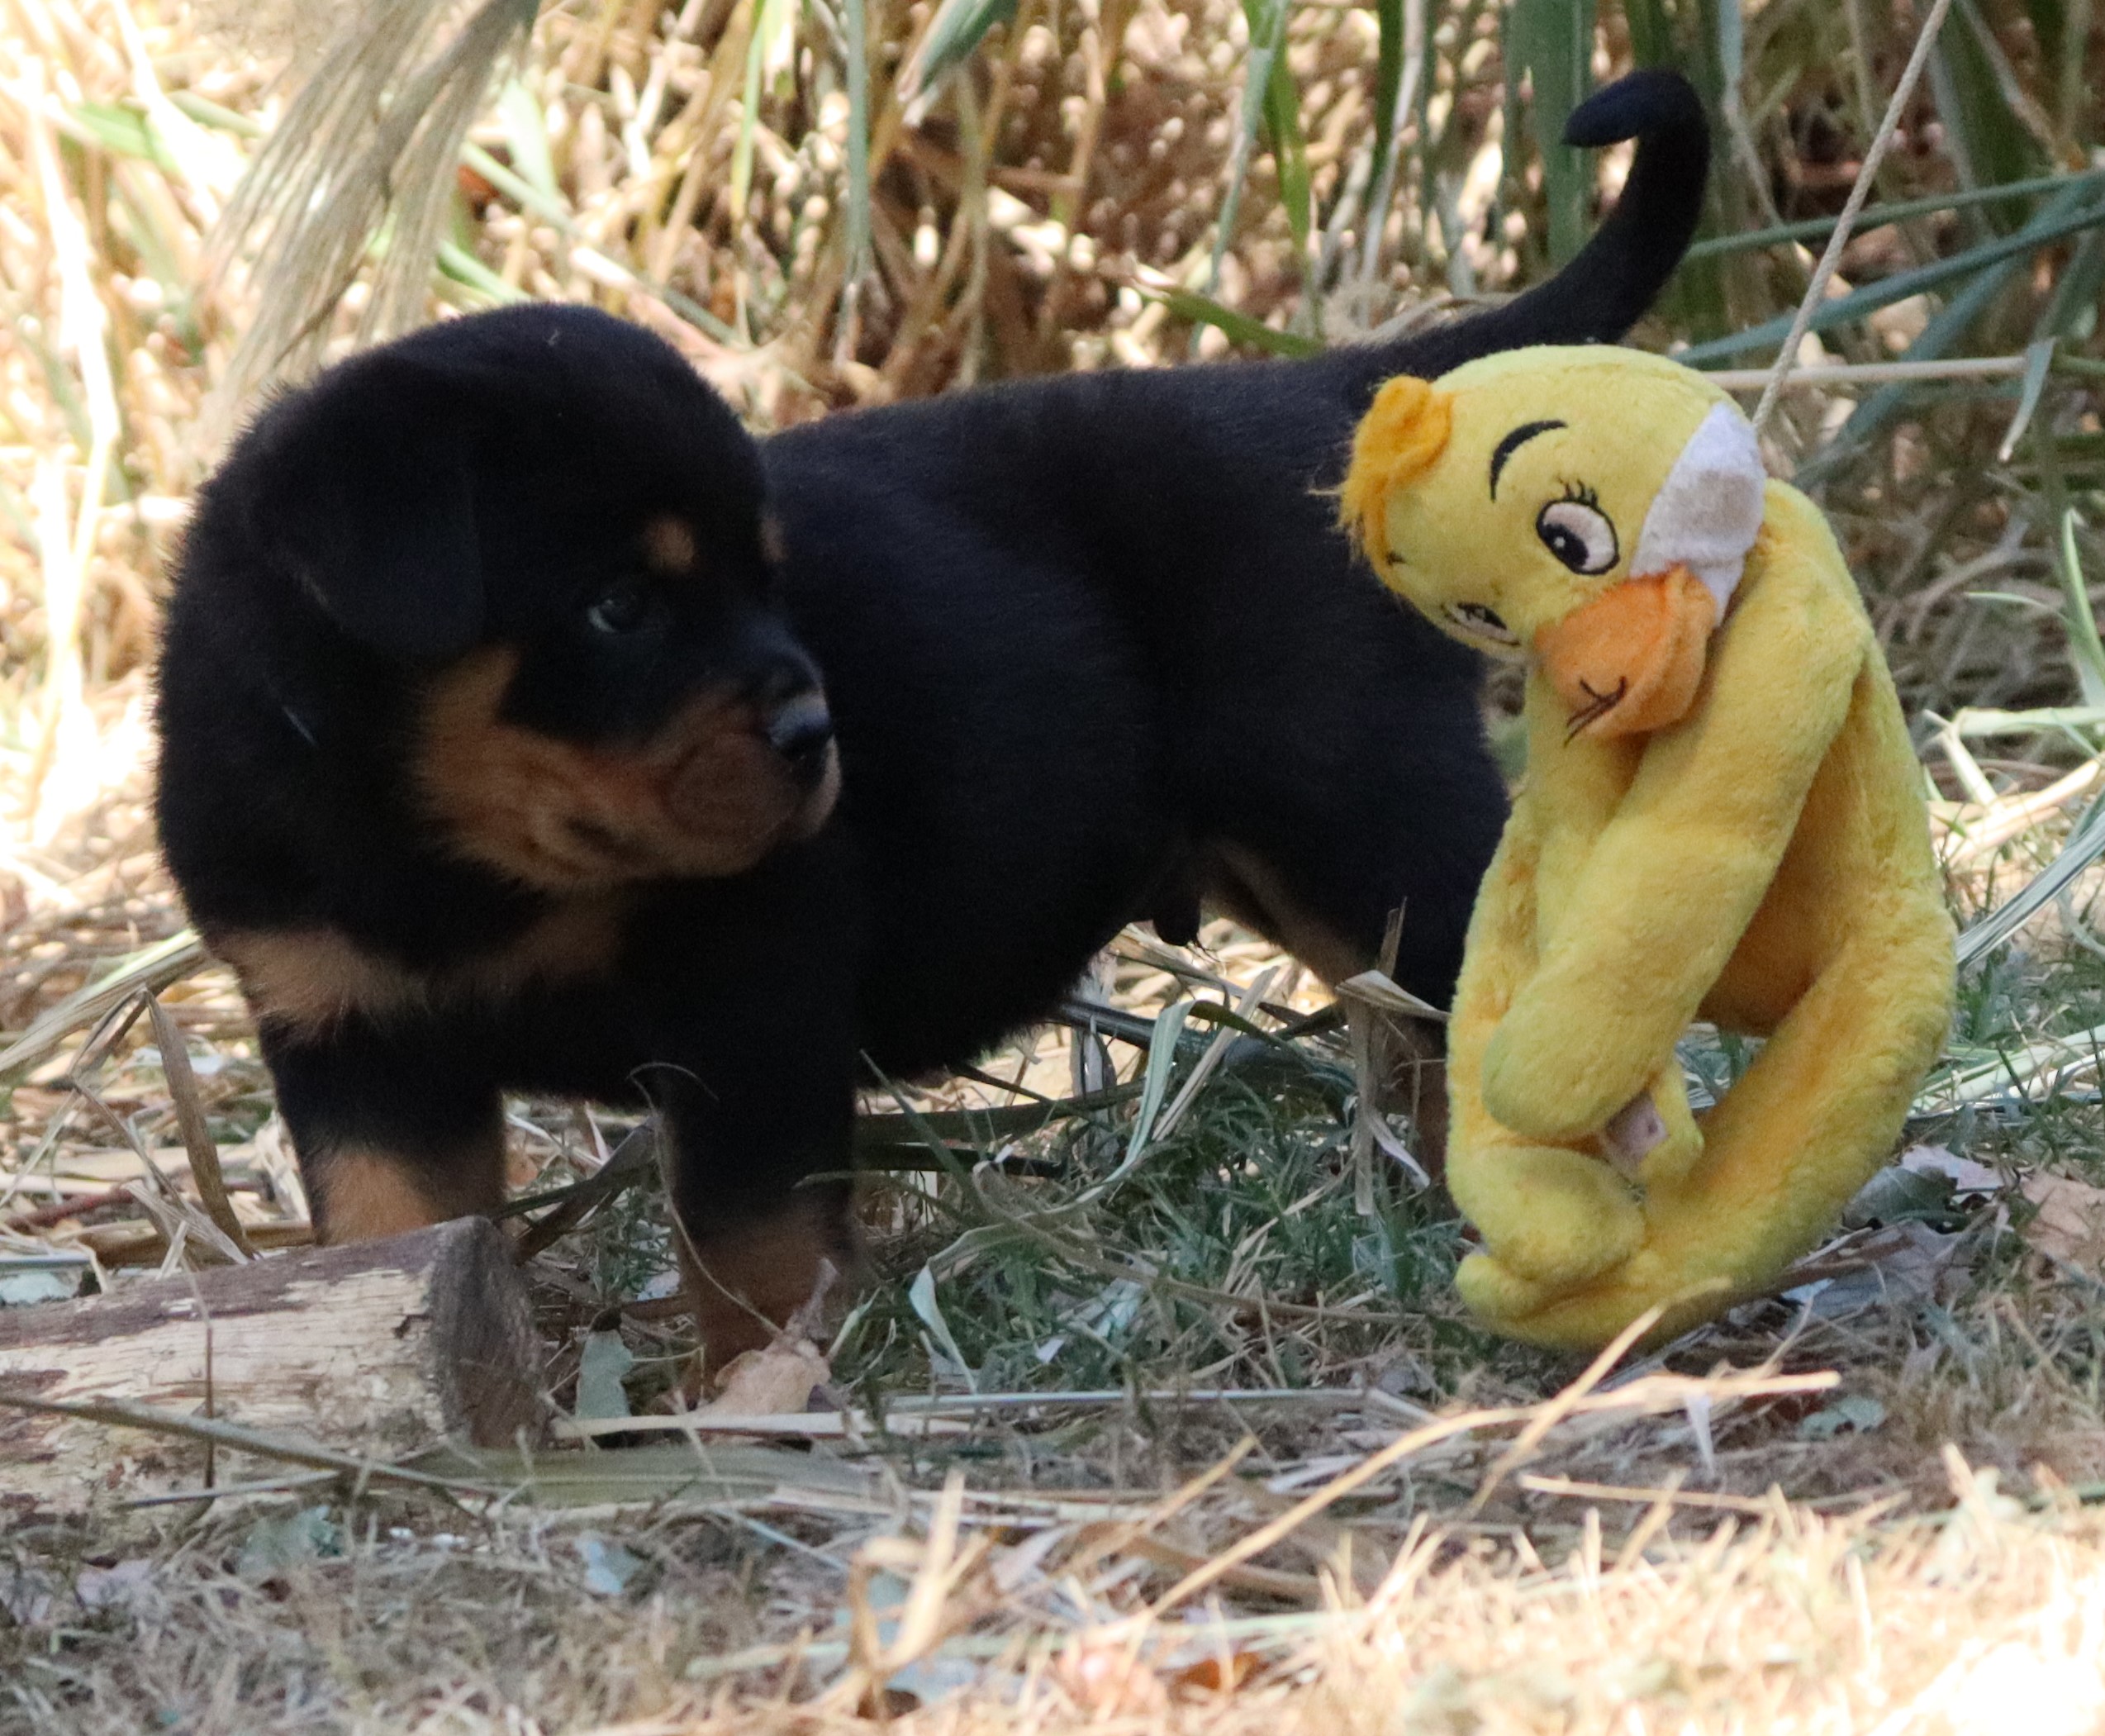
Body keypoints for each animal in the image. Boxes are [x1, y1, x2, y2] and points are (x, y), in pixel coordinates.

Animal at [155, 71, 1707, 1368]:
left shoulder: (748, 992)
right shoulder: (353, 1040)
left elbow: (748, 1236)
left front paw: (757, 1389)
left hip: (1360, 809)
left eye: (766, 579)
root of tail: (1337, 394)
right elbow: (390, 1228)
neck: (438, 858)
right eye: (618, 607)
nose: (813, 737)